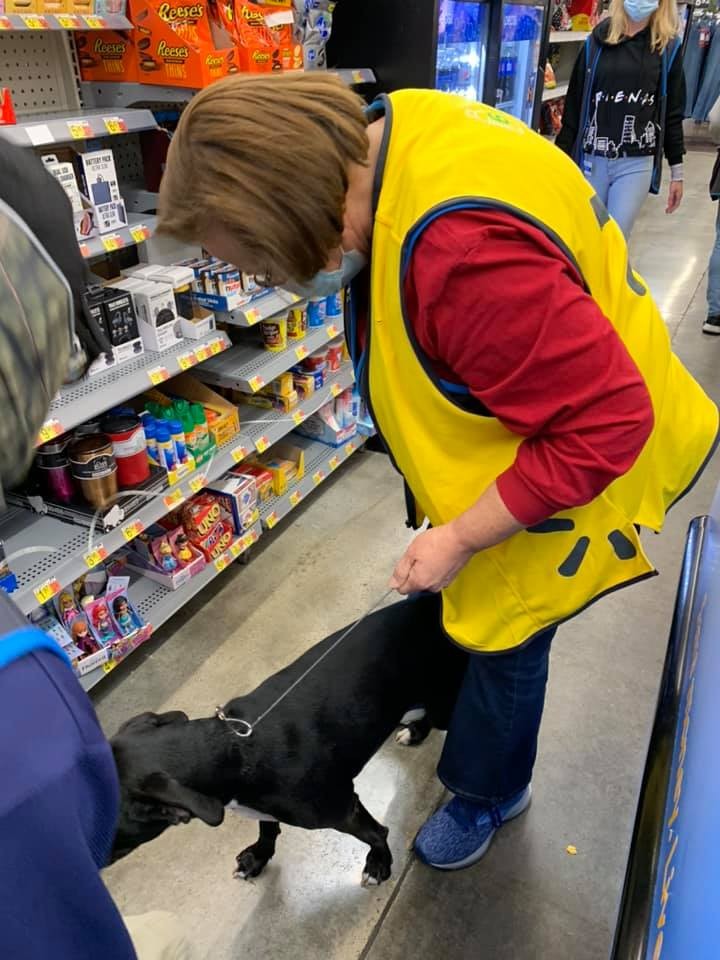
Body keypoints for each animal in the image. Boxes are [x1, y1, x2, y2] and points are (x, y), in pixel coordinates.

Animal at [109, 592, 464, 884]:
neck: (234, 748)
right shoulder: (264, 808)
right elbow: (268, 827)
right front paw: (258, 856)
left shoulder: (344, 810)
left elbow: (376, 833)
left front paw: (379, 863)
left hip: (444, 701)